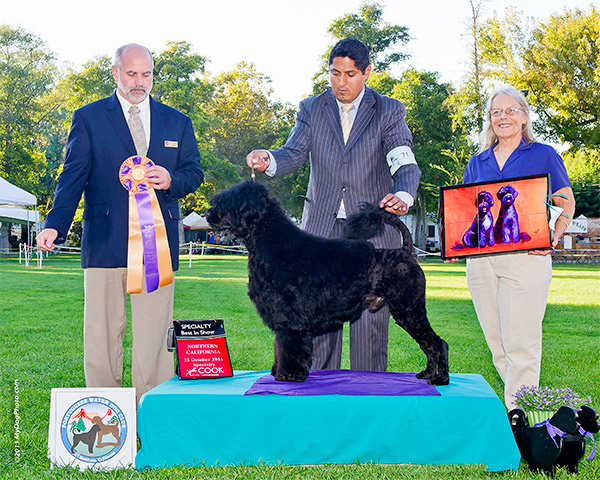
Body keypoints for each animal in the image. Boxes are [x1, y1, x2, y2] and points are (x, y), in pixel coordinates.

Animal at [206, 182, 446, 384]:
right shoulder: (282, 319)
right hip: (408, 312)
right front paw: (277, 372)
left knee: (437, 343)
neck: (272, 243)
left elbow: (289, 348)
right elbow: (279, 347)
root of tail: (407, 251)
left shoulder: (291, 321)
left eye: (229, 202)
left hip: (409, 310)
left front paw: (288, 376)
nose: (208, 214)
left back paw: (439, 379)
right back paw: (426, 374)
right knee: (428, 345)